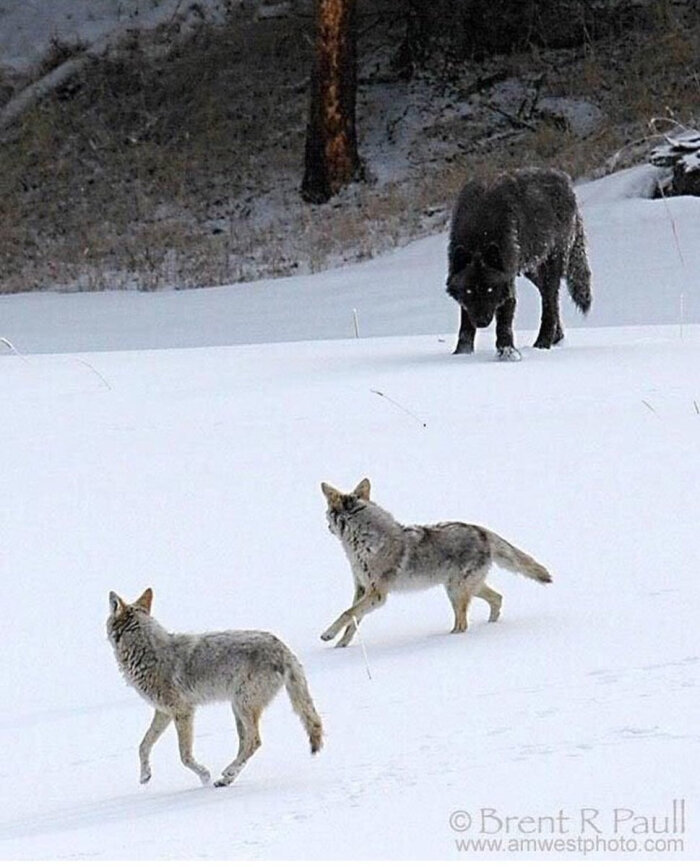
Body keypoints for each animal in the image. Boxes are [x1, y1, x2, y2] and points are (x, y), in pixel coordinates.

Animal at [446, 168, 588, 358]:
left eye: (490, 289)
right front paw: (462, 353)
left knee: (550, 302)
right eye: (469, 291)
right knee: (549, 297)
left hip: (551, 265)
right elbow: (465, 324)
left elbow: (504, 323)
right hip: (532, 270)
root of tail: (565, 180)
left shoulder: (507, 281)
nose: (482, 322)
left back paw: (543, 343)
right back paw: (557, 338)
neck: (479, 233)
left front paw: (507, 353)